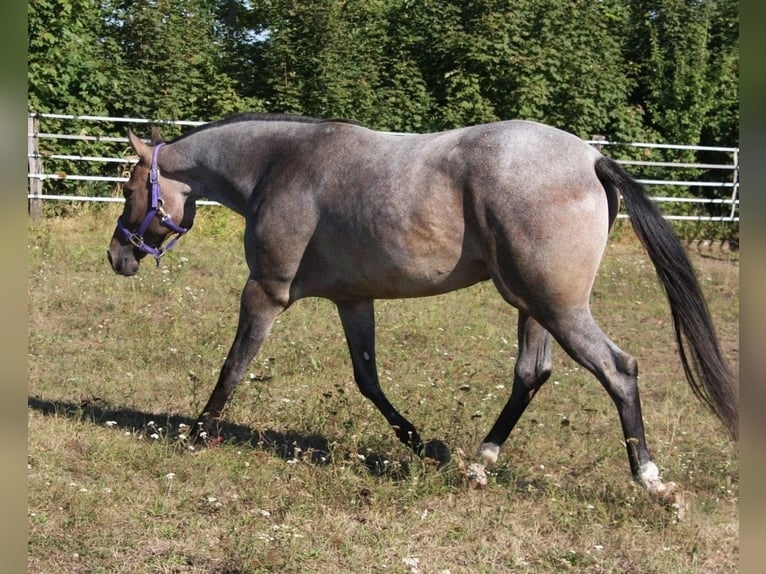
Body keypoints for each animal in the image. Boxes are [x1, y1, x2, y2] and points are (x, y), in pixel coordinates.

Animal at [108, 113, 736, 504]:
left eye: (130, 190)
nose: (117, 255)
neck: (282, 164)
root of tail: (591, 159)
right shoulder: (353, 300)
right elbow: (367, 380)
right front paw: (423, 445)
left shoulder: (265, 291)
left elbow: (234, 364)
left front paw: (198, 432)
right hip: (533, 305)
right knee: (531, 374)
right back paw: (478, 463)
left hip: (559, 307)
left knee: (618, 369)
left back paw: (652, 483)